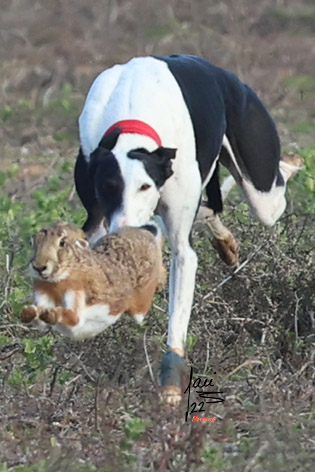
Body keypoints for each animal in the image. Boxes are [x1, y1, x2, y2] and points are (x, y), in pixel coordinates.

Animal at [74, 54, 304, 402]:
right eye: (107, 186)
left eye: (144, 186)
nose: (126, 234)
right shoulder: (98, 220)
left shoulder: (182, 250)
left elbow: (177, 317)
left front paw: (170, 388)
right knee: (206, 211)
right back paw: (222, 242)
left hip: (263, 190)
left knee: (272, 183)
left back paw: (293, 163)